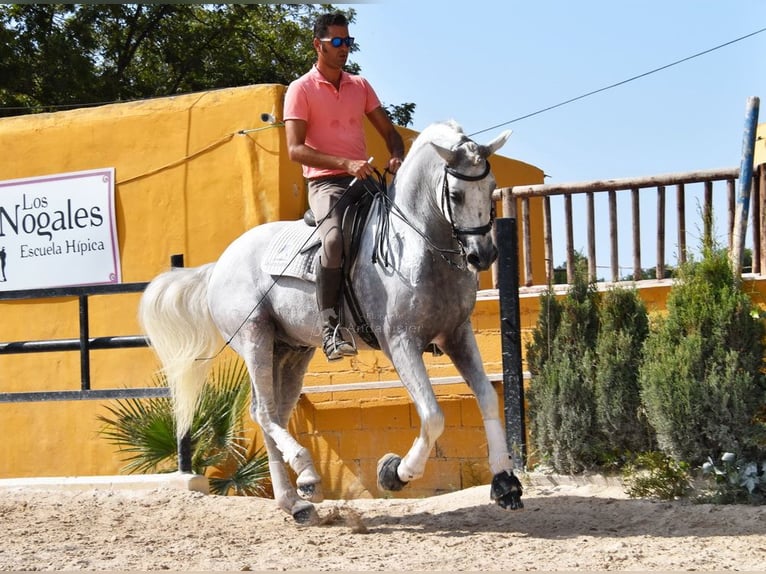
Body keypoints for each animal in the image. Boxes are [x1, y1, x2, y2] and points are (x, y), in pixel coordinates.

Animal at [140, 119, 520, 524]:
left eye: (492, 187)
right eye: (456, 194)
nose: (483, 256)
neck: (416, 247)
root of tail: (220, 263)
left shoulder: (458, 335)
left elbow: (487, 398)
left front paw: (505, 482)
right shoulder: (400, 342)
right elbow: (433, 415)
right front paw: (395, 473)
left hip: (290, 351)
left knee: (270, 412)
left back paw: (295, 501)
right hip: (256, 338)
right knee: (265, 413)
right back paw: (306, 472)